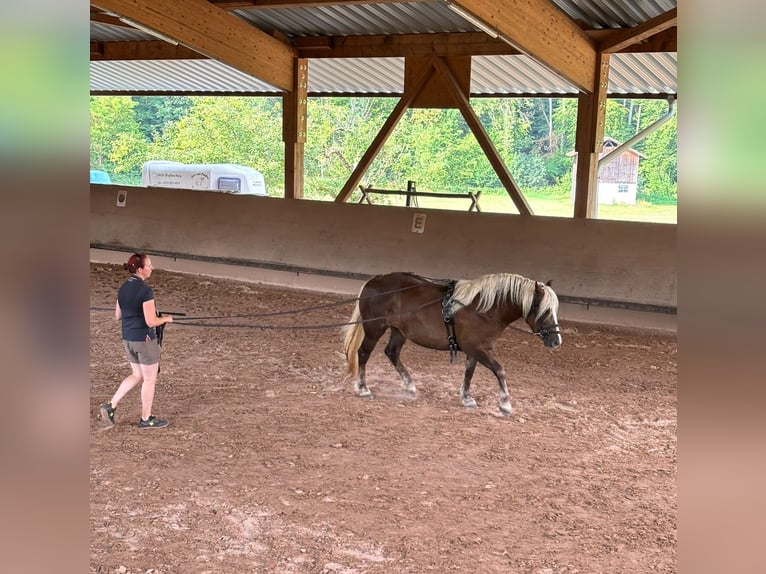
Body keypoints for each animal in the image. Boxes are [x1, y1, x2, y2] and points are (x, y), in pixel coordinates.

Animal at [342, 272, 562, 415]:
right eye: (544, 310)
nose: (556, 340)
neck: (483, 309)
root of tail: (374, 280)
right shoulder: (477, 348)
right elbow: (499, 370)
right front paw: (505, 404)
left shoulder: (475, 350)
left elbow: (469, 373)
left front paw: (467, 398)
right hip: (374, 329)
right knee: (363, 353)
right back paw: (363, 388)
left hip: (399, 331)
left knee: (392, 352)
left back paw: (409, 384)